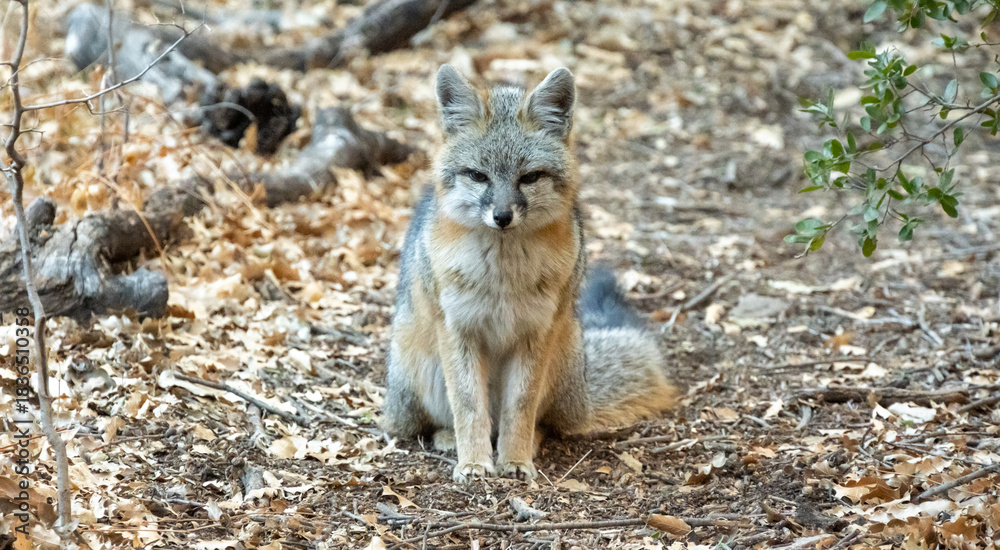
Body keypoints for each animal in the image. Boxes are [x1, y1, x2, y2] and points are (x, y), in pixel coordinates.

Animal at [381, 64, 678, 482]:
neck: (504, 276)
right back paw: (449, 439)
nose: (502, 216)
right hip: (421, 372)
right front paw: (474, 463)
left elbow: (521, 406)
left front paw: (516, 460)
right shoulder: (458, 329)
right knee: (442, 420)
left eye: (530, 177)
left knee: (538, 421)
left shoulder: (536, 332)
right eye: (478, 176)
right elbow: (468, 405)